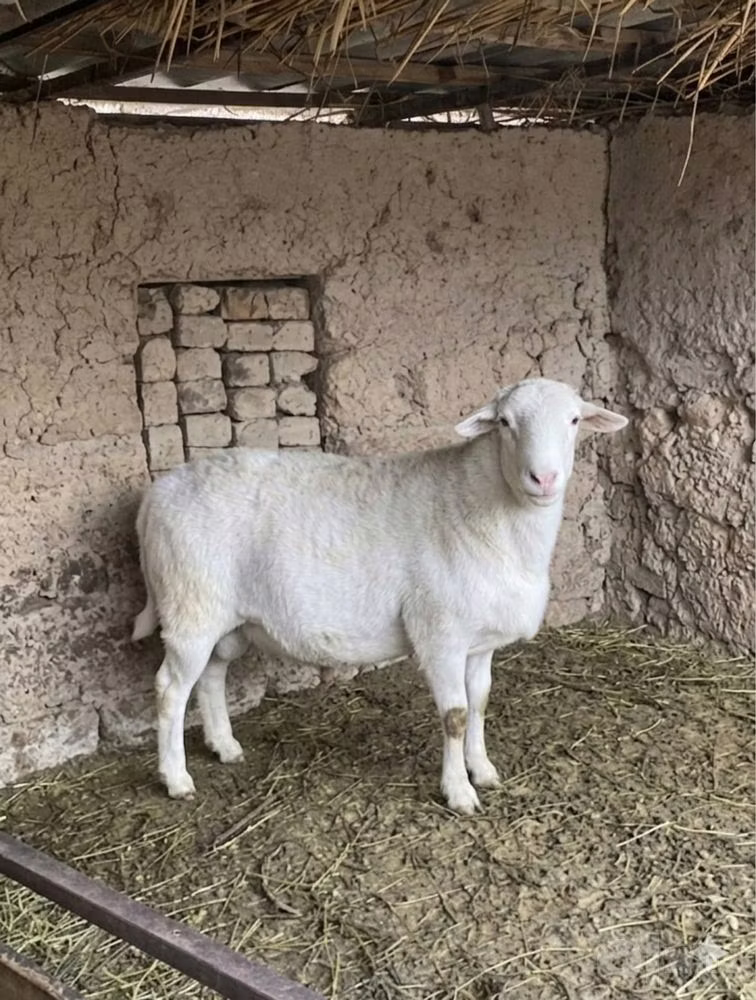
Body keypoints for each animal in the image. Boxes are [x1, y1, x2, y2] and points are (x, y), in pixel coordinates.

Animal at [133, 377, 627, 814]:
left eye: (574, 420)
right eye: (504, 422)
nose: (543, 478)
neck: (490, 507)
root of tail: (155, 495)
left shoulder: (480, 640)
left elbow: (481, 702)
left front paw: (482, 768)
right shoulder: (440, 633)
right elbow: (455, 714)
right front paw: (458, 791)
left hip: (226, 616)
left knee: (211, 674)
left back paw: (224, 745)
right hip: (189, 605)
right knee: (170, 689)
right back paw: (176, 778)